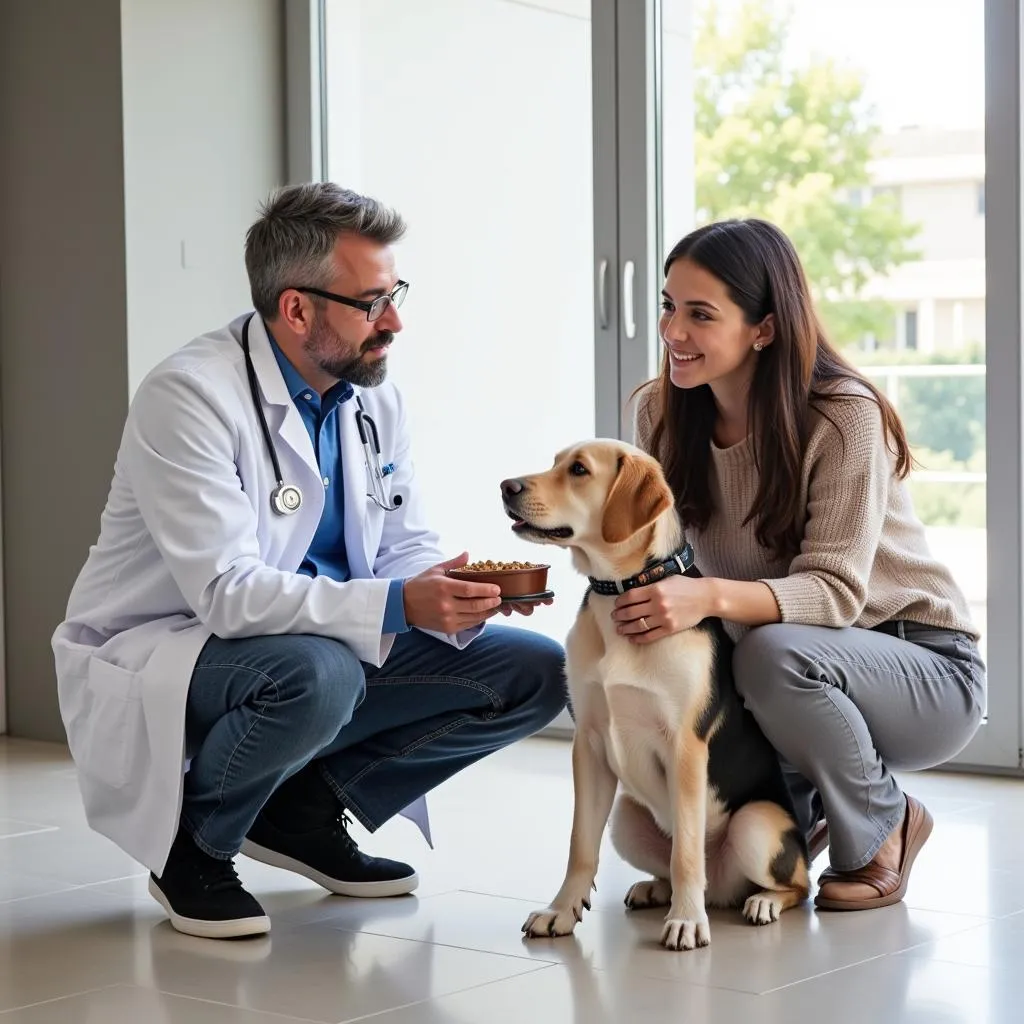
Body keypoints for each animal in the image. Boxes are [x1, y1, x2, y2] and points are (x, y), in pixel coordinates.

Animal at [501, 440, 806, 950]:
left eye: (579, 470)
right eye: (555, 461)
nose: (506, 486)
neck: (621, 591)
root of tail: (722, 891)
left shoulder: (684, 746)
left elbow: (686, 853)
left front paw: (686, 921)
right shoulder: (589, 744)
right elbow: (580, 847)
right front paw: (561, 911)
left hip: (756, 824)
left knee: (797, 885)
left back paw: (758, 901)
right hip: (625, 817)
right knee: (668, 864)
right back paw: (655, 889)